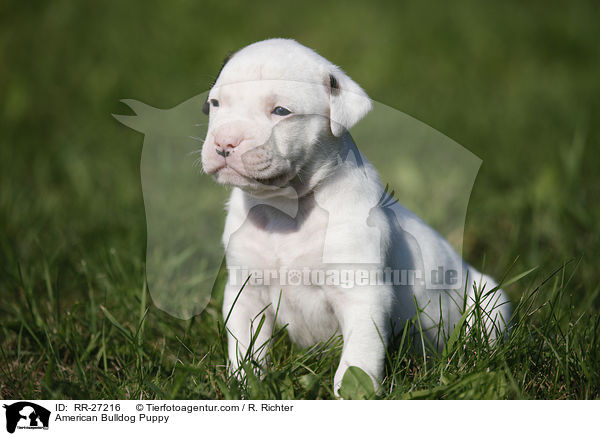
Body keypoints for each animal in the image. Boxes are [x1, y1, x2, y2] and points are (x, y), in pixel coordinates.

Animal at [203, 38, 510, 396]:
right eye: (215, 104)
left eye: (280, 111)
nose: (224, 142)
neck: (286, 210)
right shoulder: (246, 293)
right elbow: (245, 348)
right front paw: (244, 387)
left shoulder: (363, 295)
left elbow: (357, 360)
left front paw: (352, 395)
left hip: (490, 301)